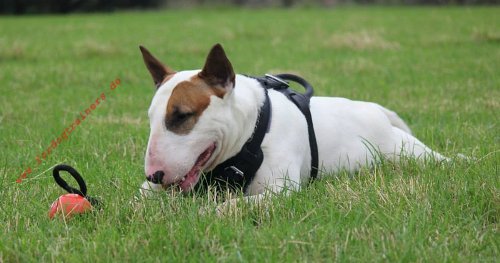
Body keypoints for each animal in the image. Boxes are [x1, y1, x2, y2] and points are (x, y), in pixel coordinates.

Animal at [139, 44, 448, 206]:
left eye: (182, 116)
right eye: (150, 118)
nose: (155, 175)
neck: (253, 131)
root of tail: (377, 110)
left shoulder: (281, 189)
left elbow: (232, 205)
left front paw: (205, 212)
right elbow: (139, 198)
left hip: (406, 151)